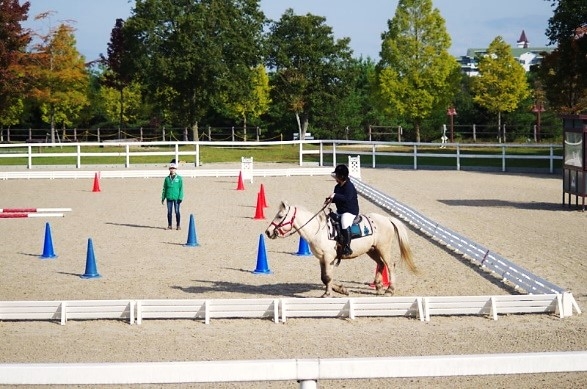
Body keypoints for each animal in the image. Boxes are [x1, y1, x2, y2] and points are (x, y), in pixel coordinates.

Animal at [266, 202, 418, 296]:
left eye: (280, 216)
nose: (268, 232)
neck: (318, 230)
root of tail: (387, 219)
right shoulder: (322, 259)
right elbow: (324, 278)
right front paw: (341, 289)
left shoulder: (328, 257)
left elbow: (327, 277)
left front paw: (327, 294)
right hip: (372, 250)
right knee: (380, 264)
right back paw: (379, 287)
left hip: (383, 248)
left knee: (390, 266)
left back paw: (389, 290)